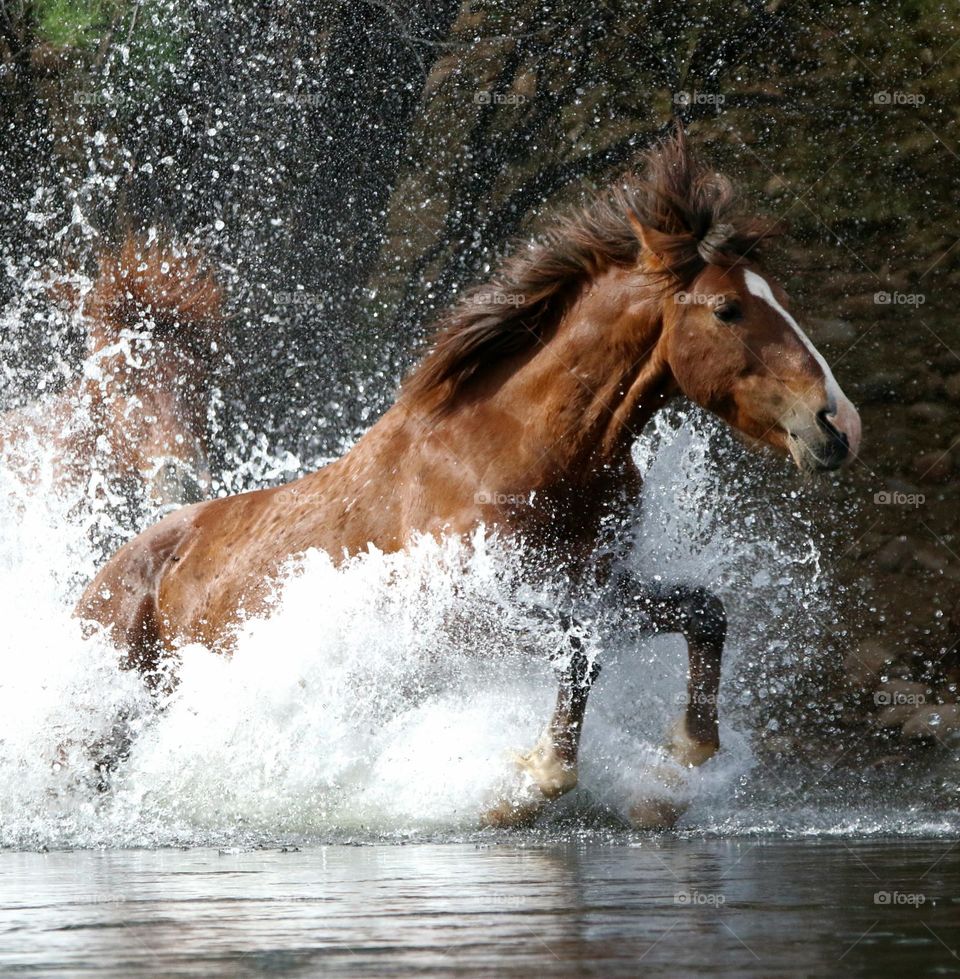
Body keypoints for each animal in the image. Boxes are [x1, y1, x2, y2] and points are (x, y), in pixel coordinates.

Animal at [76, 132, 861, 828]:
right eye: (728, 309)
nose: (839, 424)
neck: (525, 453)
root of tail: (105, 579)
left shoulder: (593, 584)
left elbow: (704, 611)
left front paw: (684, 758)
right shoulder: (464, 611)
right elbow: (579, 648)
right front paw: (533, 780)